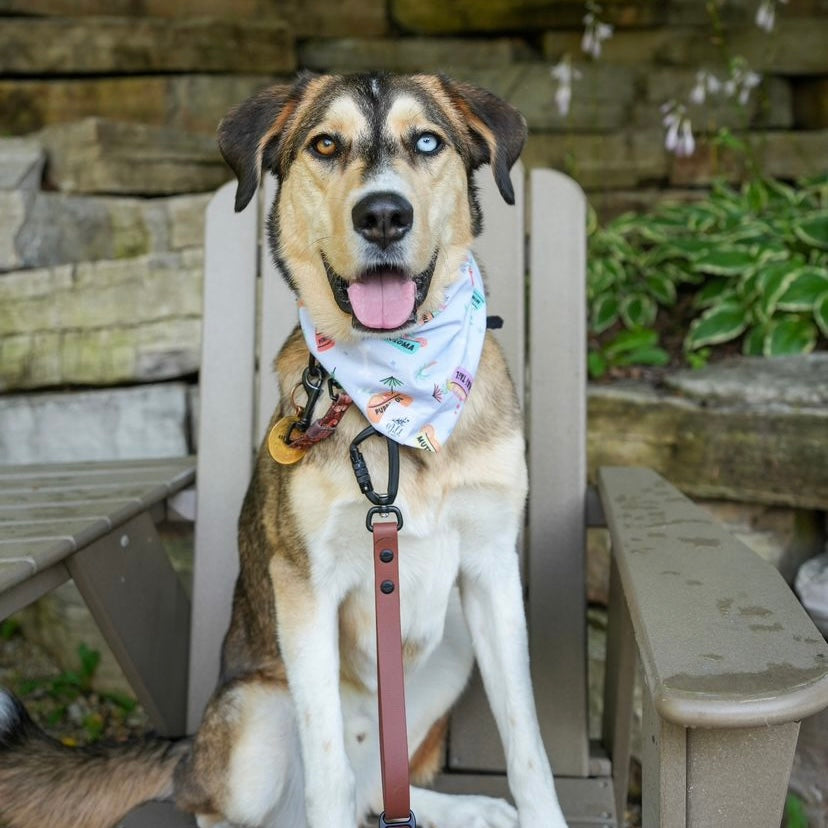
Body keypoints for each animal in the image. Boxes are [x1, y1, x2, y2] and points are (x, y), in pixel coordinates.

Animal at [0, 73, 568, 828]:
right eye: (325, 145)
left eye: (427, 142)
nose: (382, 215)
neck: (397, 400)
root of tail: (187, 747)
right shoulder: (304, 588)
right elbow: (327, 774)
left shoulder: (492, 571)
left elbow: (527, 745)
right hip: (254, 720)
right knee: (243, 798)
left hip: (447, 646)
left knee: (376, 788)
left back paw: (468, 809)